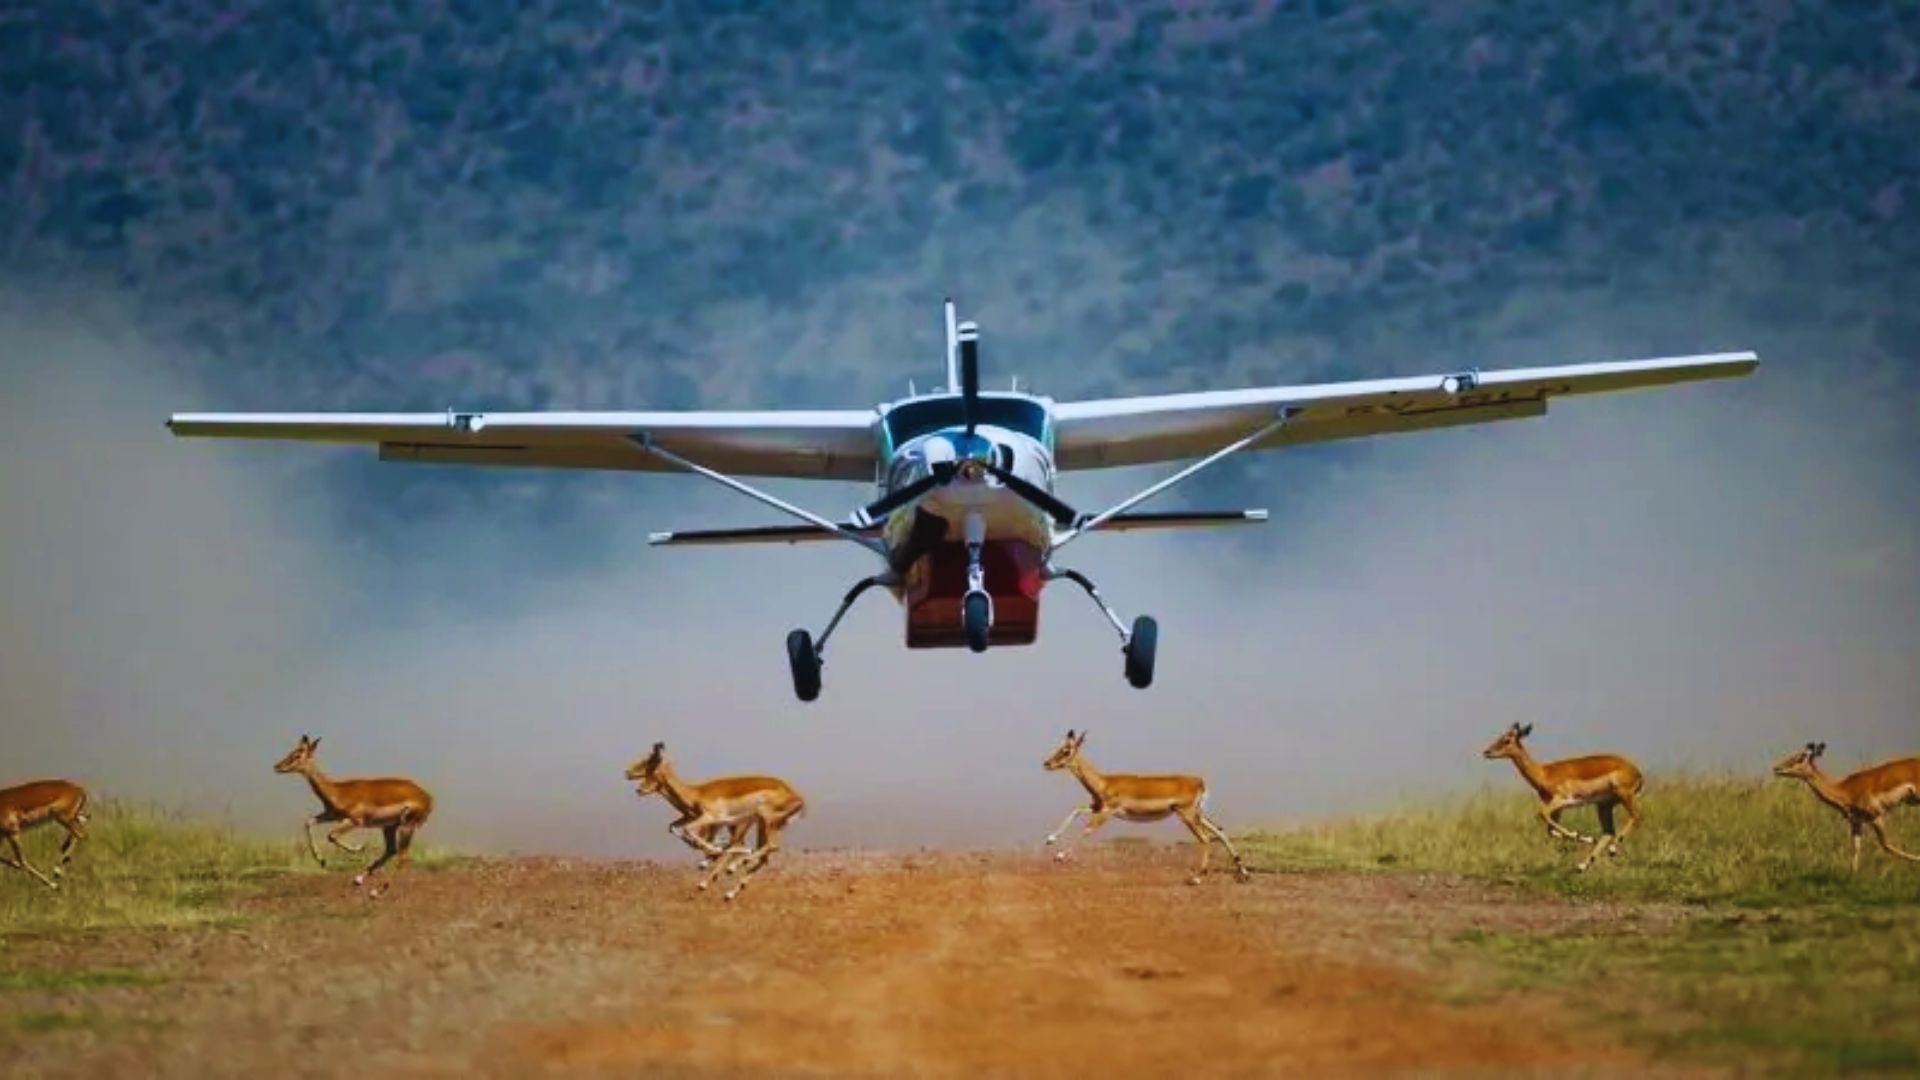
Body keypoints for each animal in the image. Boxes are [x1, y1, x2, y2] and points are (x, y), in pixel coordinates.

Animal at [273, 734, 433, 897]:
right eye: (292, 751)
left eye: (298, 755)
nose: (277, 766)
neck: (338, 791)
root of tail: (428, 798)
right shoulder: (331, 815)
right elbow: (308, 822)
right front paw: (322, 860)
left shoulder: (354, 821)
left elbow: (331, 835)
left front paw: (358, 848)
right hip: (389, 827)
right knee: (391, 850)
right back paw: (358, 880)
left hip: (406, 826)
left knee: (403, 857)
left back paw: (375, 892)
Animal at [625, 742, 806, 902]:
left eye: (649, 762)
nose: (638, 787)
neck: (696, 793)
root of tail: (798, 798)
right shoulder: (711, 823)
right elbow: (676, 829)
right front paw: (711, 855)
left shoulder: (711, 819)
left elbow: (691, 832)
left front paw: (714, 854)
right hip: (762, 825)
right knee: (763, 854)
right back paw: (728, 892)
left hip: (762, 821)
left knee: (770, 846)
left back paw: (725, 872)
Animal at [1041, 729, 1249, 885]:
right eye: (1059, 747)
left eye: (1066, 750)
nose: (1047, 763)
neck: (1105, 782)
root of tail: (1199, 781)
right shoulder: (1098, 806)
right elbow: (1075, 810)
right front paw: (1050, 839)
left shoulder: (1107, 811)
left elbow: (1087, 830)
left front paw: (1059, 856)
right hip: (1198, 814)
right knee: (1220, 831)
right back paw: (1244, 873)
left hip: (1187, 815)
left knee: (1205, 838)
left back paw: (1196, 878)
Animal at [1481, 722, 1644, 872]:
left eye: (1507, 739)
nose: (1486, 752)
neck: (1544, 773)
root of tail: (1637, 772)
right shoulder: (1558, 808)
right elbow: (1551, 830)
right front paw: (1586, 838)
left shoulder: (1562, 800)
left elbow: (1542, 814)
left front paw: (1578, 834)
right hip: (1604, 805)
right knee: (1608, 832)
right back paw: (1582, 865)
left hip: (1624, 795)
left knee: (1636, 816)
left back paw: (1612, 850)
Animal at [1772, 742, 1920, 872]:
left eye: (1801, 758)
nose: (1776, 768)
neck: (1845, 789)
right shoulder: (1856, 822)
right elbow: (1856, 848)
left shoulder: (1876, 817)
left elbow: (1887, 845)